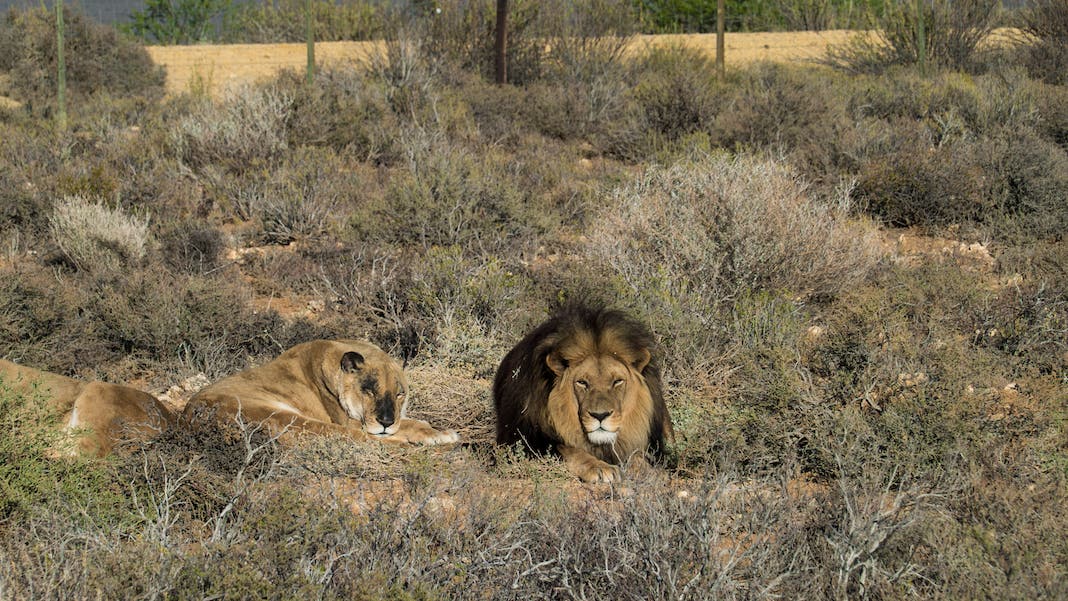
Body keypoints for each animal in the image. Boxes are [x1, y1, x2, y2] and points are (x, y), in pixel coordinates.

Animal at [181, 339, 459, 445]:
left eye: (400, 394)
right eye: (369, 390)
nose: (386, 422)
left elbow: (409, 420)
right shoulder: (351, 422)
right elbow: (407, 424)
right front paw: (438, 434)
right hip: (288, 417)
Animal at [492, 305, 674, 483]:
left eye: (617, 381)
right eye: (582, 382)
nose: (600, 415)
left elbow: (638, 454)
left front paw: (649, 470)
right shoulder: (524, 442)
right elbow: (569, 450)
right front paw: (600, 468)